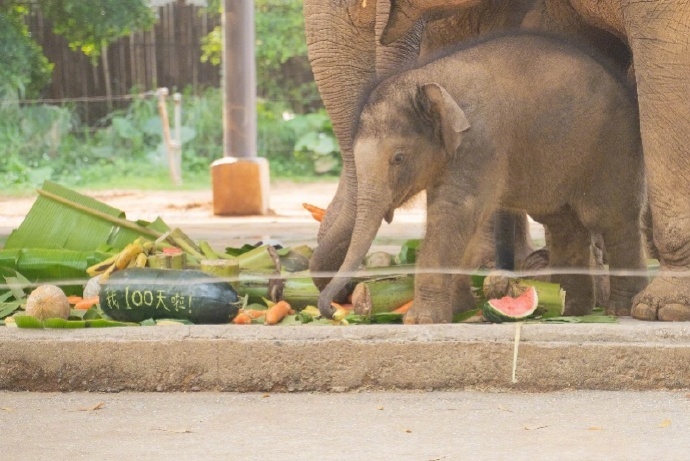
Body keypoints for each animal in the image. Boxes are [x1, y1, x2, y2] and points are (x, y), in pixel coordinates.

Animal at [304, 0, 690, 321]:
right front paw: (462, 305)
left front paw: (422, 319)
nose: (335, 307)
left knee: (609, 216)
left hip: (611, 154)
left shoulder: (481, 141)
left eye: (398, 158)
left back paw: (633, 308)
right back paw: (572, 304)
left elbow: (456, 210)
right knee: (565, 221)